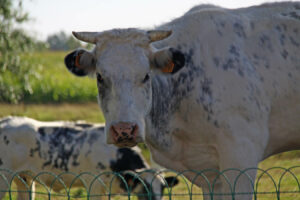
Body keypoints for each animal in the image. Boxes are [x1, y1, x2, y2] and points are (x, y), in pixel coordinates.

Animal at [0, 116, 178, 200]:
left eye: (163, 189)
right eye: (145, 188)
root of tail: (6, 120)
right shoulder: (94, 185)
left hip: (25, 179)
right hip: (4, 178)